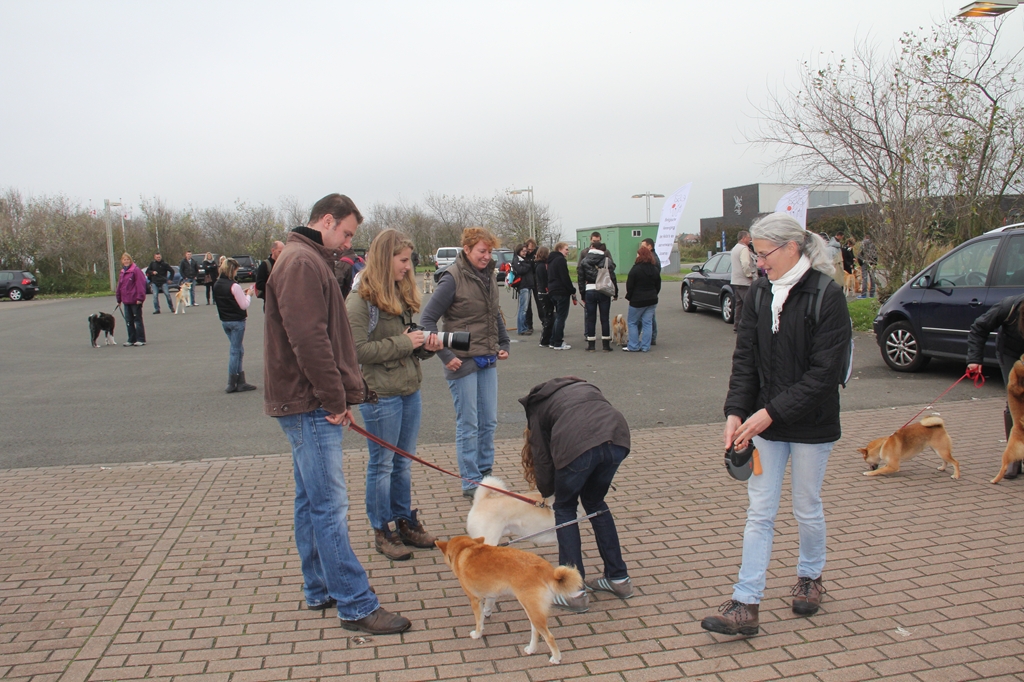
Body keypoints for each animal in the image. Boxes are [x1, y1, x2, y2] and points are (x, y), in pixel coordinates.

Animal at [434, 532, 585, 659]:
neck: (465, 549)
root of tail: (545, 568)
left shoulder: (474, 600)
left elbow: (479, 621)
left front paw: (477, 634)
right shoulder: (491, 594)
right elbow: (487, 608)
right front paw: (487, 614)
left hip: (532, 609)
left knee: (549, 636)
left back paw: (556, 658)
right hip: (532, 610)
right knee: (536, 632)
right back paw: (532, 649)